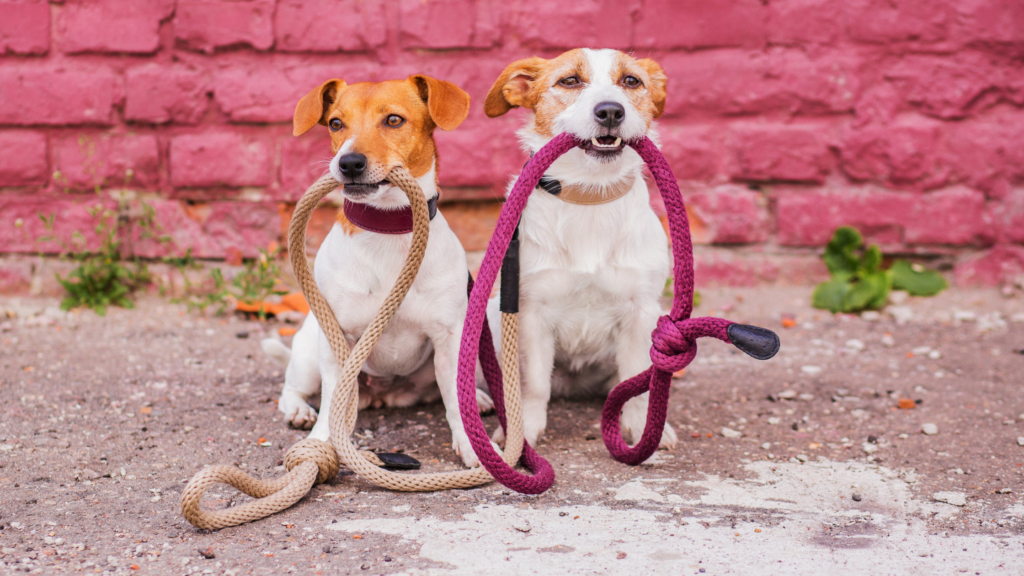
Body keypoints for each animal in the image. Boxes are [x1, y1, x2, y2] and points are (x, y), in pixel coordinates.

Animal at [262, 75, 489, 467]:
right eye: (336, 123)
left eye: (394, 120)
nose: (349, 162)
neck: (387, 230)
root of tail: (383, 395)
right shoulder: (336, 338)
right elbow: (332, 400)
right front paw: (319, 443)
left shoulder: (449, 336)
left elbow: (456, 402)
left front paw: (473, 446)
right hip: (308, 352)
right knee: (293, 389)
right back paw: (299, 411)